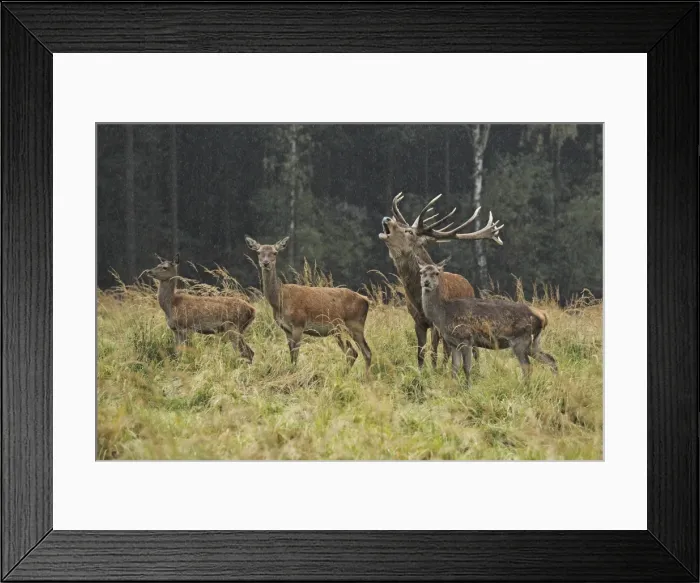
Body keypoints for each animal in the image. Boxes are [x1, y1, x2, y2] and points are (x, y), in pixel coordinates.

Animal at [244, 236, 372, 373]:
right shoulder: (286, 329)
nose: (265, 262)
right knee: (362, 352)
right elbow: (291, 354)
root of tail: (366, 300)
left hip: (352, 325)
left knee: (354, 352)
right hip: (343, 329)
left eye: (275, 252)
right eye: (258, 252)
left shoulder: (298, 324)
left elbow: (295, 355)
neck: (280, 301)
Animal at [378, 192, 504, 369]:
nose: (387, 218)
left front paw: (436, 370)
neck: (418, 300)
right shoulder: (417, 320)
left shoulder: (438, 323)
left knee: (470, 349)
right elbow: (421, 353)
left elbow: (434, 352)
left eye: (409, 231)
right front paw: (422, 371)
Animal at [418, 257, 558, 385]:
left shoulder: (466, 338)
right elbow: (454, 369)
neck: (443, 314)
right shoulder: (453, 343)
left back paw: (525, 387)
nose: (426, 282)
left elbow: (466, 368)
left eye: (436, 273)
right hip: (534, 342)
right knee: (551, 359)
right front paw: (455, 388)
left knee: (527, 367)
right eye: (421, 272)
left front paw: (468, 388)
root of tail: (543, 315)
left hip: (521, 340)